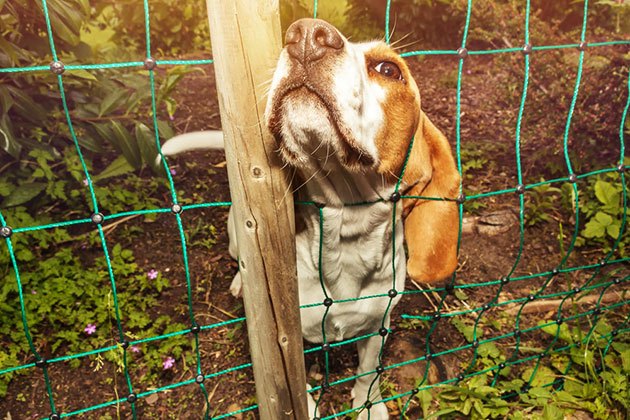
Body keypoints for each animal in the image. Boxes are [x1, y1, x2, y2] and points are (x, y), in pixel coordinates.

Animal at [160, 18, 462, 420]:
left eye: (389, 70)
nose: (305, 34)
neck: (346, 229)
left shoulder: (378, 326)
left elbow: (369, 372)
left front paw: (368, 404)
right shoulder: (287, 336)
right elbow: (297, 381)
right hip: (237, 234)